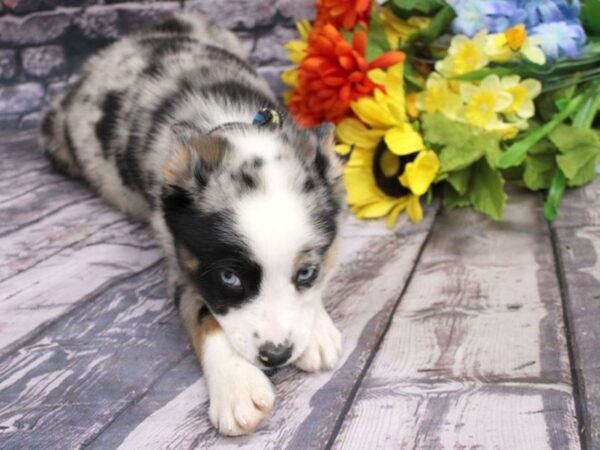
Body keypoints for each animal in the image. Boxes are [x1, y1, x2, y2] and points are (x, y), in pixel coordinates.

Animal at [39, 13, 344, 436]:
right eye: (229, 278)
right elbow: (202, 311)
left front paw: (317, 331)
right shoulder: (181, 258)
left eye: (306, 273)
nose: (276, 355)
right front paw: (237, 386)